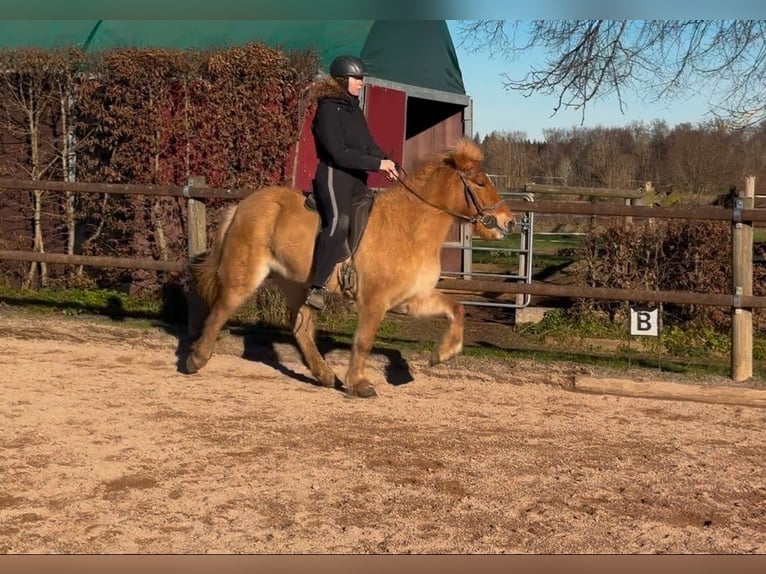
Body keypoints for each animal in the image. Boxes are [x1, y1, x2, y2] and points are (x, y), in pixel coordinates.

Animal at [185, 138, 515, 398]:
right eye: (480, 183)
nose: (509, 222)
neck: (410, 226)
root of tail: (242, 205)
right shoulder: (374, 300)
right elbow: (364, 340)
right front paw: (359, 383)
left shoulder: (411, 298)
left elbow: (456, 309)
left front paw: (442, 354)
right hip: (246, 275)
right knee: (221, 310)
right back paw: (196, 360)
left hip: (298, 283)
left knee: (300, 325)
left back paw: (325, 375)